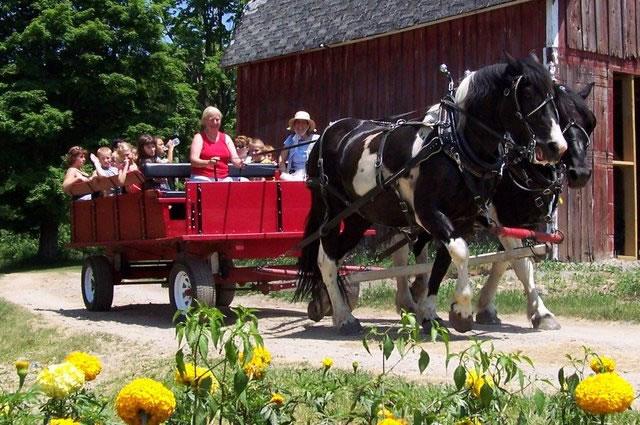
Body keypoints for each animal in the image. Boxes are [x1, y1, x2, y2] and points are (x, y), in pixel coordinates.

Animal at [294, 53, 564, 332]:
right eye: (526, 94)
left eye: (553, 98)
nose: (557, 147)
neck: (453, 145)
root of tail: (326, 134)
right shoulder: (429, 213)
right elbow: (463, 253)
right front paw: (462, 310)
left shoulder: (462, 219)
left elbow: (444, 262)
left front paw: (431, 313)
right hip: (333, 210)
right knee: (326, 259)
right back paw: (343, 315)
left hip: (359, 216)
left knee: (337, 257)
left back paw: (332, 306)